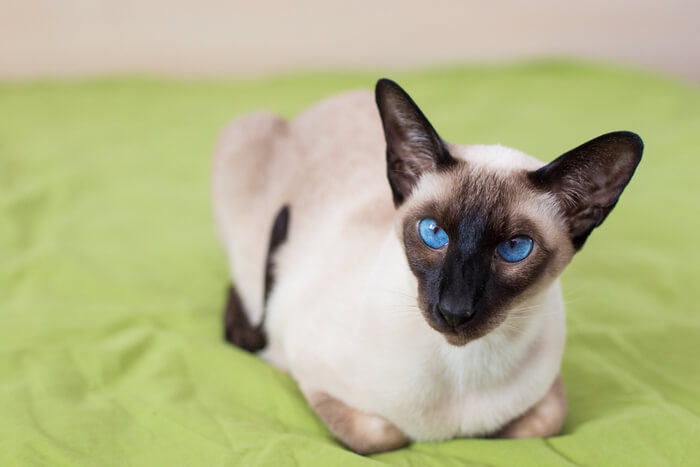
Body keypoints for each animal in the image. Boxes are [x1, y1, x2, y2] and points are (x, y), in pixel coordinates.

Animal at [211, 78, 644, 456]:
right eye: (433, 232)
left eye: (515, 248)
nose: (454, 310)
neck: (462, 373)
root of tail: (324, 102)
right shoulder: (305, 366)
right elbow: (380, 435)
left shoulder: (549, 394)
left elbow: (535, 426)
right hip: (242, 145)